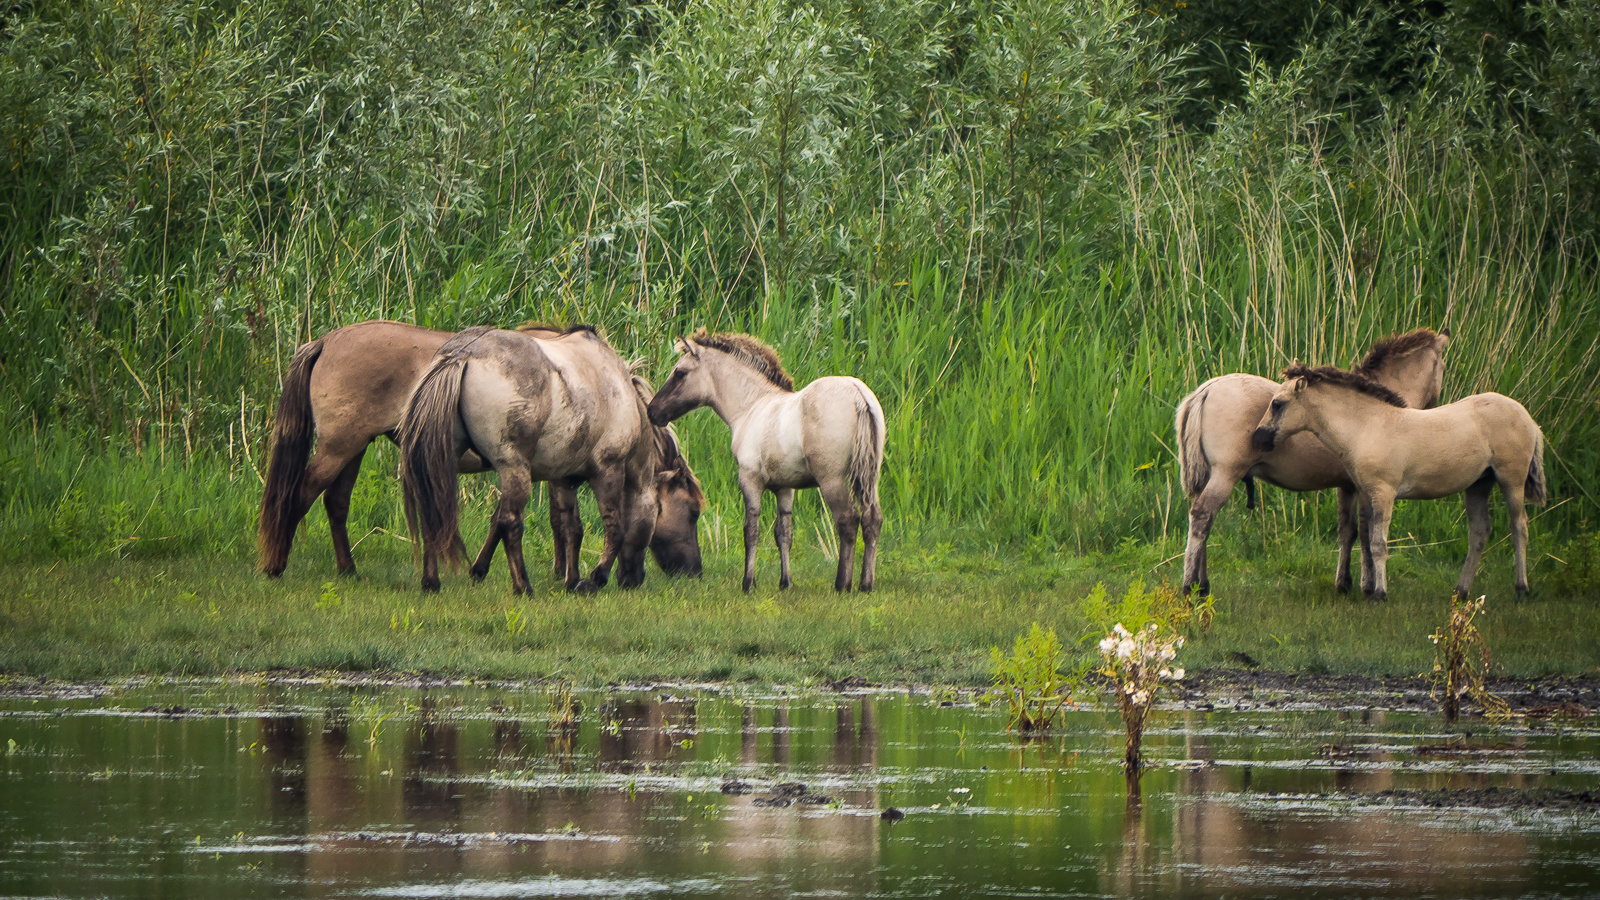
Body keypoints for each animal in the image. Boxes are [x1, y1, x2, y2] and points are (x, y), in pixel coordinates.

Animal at [257, 321, 700, 582]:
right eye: (694, 511)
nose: (692, 571)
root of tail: (327, 340)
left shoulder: (550, 470)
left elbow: (553, 523)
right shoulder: (565, 468)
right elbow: (561, 524)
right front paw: (571, 576)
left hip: (353, 448)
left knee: (336, 503)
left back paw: (349, 569)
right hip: (340, 446)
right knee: (300, 495)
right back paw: (276, 565)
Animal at [646, 329, 889, 589]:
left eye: (679, 373)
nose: (652, 411)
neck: (751, 407)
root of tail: (857, 393)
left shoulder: (750, 480)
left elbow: (751, 531)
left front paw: (748, 583)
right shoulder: (784, 488)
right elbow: (783, 534)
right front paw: (785, 583)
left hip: (833, 480)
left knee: (847, 521)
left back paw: (842, 583)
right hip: (870, 478)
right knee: (872, 519)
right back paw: (866, 584)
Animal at [1254, 360, 1542, 598]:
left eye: (1278, 404)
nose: (1257, 438)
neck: (1367, 427)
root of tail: (1528, 418)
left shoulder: (1384, 492)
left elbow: (1378, 544)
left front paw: (1380, 594)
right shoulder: (1366, 492)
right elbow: (1367, 539)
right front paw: (1369, 588)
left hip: (1511, 480)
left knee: (1519, 527)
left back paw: (1522, 589)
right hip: (1478, 484)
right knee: (1480, 532)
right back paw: (1461, 591)